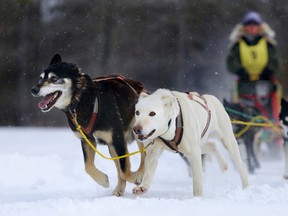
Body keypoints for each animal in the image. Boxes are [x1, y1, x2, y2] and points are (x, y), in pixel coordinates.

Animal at [31, 54, 146, 196]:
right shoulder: (87, 139)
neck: (80, 101)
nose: (34, 90)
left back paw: (139, 174)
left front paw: (135, 178)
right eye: (41, 78)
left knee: (143, 155)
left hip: (137, 133)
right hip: (112, 147)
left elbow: (125, 170)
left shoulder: (117, 138)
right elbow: (88, 166)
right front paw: (102, 180)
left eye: (54, 78)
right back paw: (119, 189)